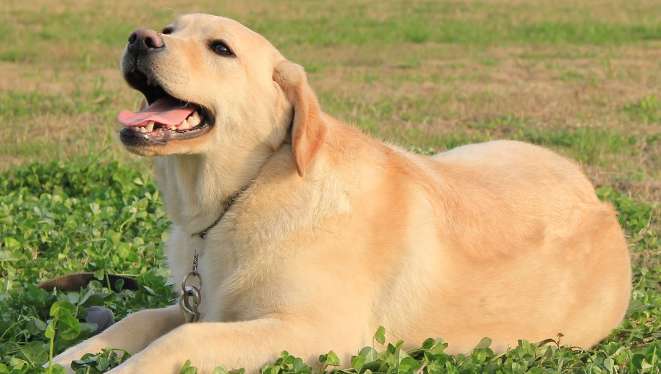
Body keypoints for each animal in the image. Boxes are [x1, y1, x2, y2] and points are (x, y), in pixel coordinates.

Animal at [52, 13, 628, 372]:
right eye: (171, 28)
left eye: (221, 49)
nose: (140, 37)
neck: (242, 194)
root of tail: (600, 202)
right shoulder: (202, 303)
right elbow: (143, 318)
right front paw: (67, 357)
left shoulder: (319, 333)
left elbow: (183, 337)